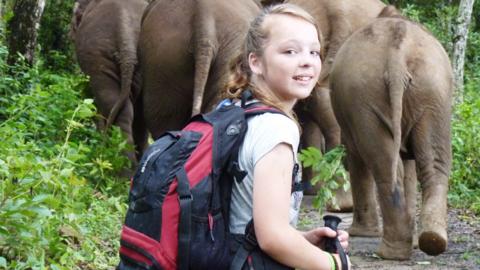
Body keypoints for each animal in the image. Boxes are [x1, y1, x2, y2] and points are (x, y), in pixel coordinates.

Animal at [330, 10, 454, 260]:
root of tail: (398, 54)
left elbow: (356, 156)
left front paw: (360, 234)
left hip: (368, 97)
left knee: (382, 163)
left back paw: (391, 253)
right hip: (432, 92)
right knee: (431, 162)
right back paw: (431, 241)